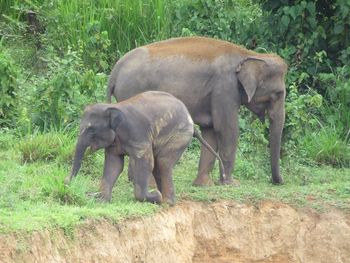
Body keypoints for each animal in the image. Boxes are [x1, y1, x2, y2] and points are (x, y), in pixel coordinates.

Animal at [64, 91, 224, 206]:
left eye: (91, 129)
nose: (66, 182)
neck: (113, 107)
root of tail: (190, 119)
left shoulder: (137, 133)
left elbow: (145, 162)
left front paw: (154, 196)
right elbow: (114, 165)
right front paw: (102, 201)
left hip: (179, 136)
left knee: (163, 163)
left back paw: (165, 201)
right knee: (159, 165)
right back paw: (162, 198)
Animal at [106, 36, 288, 187]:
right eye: (278, 94)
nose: (278, 181)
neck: (249, 54)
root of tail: (116, 69)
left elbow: (211, 131)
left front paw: (204, 185)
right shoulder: (225, 88)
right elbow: (227, 129)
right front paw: (231, 184)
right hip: (132, 92)